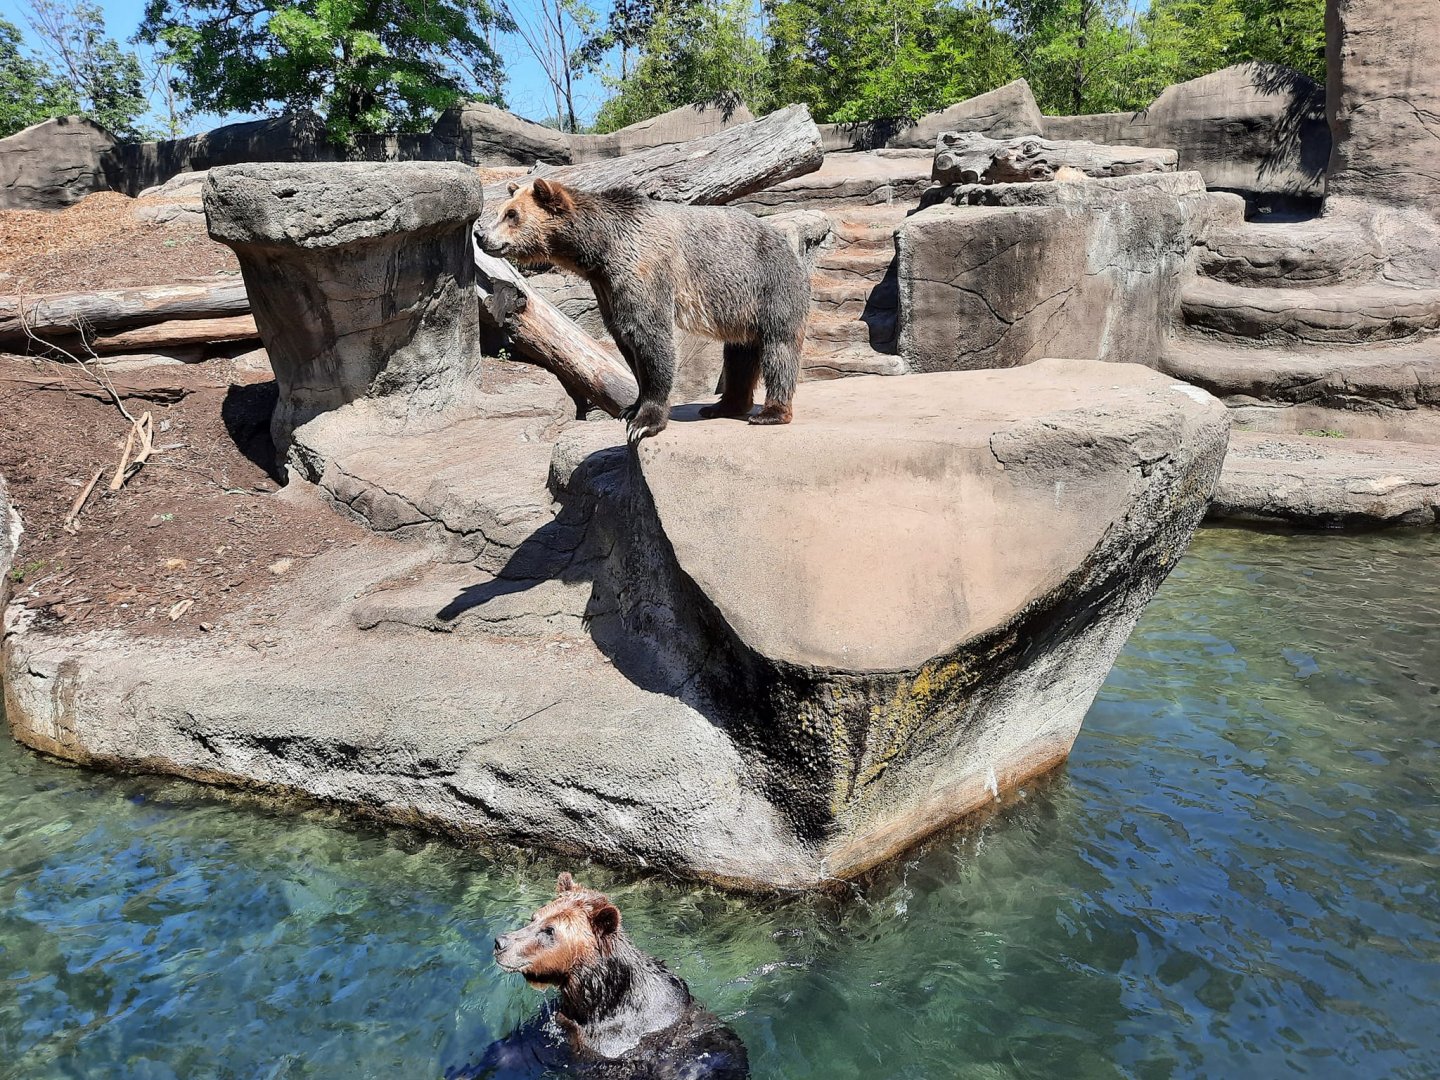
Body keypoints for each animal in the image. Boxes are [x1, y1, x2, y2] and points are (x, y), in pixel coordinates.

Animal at [447, 873, 749, 1079]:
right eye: (534, 918)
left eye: (550, 931)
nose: (501, 942)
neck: (598, 1000)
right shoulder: (561, 1020)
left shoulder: (616, 1045)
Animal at [478, 177, 809, 443]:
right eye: (503, 211)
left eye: (511, 214)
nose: (481, 236)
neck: (600, 249)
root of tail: (785, 240)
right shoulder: (606, 287)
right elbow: (626, 339)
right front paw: (630, 407)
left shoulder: (643, 269)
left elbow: (649, 336)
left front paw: (645, 421)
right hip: (739, 308)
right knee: (739, 353)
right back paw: (722, 405)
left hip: (769, 283)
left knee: (778, 345)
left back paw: (770, 412)